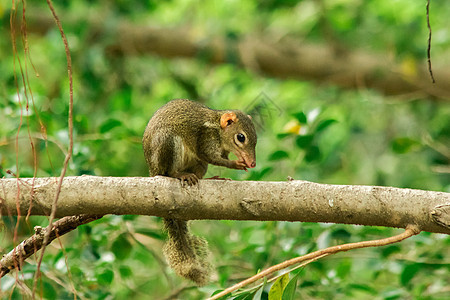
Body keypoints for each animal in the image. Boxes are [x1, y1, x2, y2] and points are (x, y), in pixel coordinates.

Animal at [142, 99, 258, 286]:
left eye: (256, 138)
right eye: (241, 137)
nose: (252, 163)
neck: (218, 130)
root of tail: (153, 170)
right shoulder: (206, 140)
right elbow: (212, 157)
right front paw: (236, 164)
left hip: (198, 164)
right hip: (168, 143)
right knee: (168, 172)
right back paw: (180, 175)